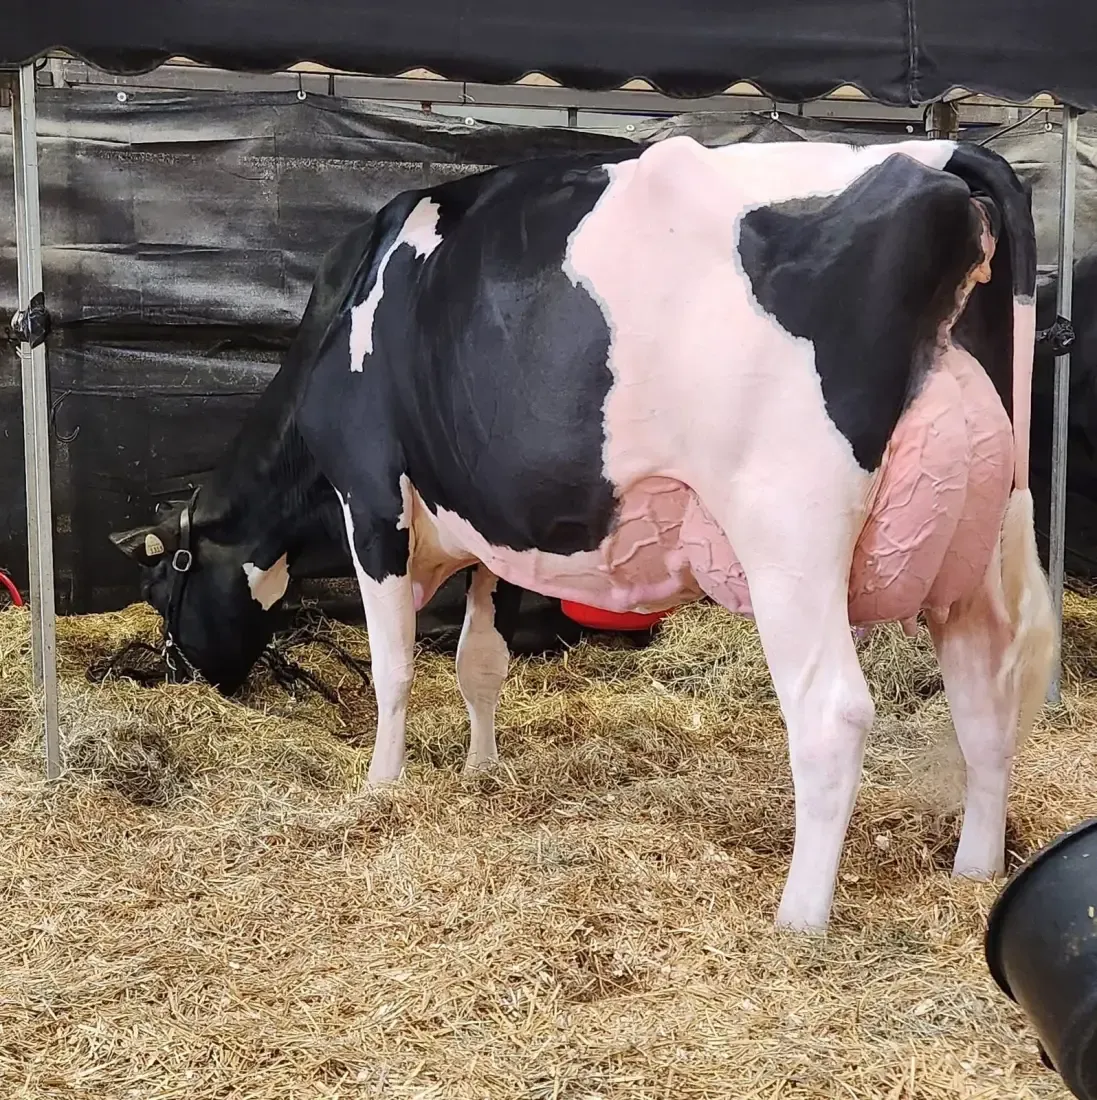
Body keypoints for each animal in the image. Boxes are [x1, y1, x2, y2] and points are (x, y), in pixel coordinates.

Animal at [110, 135, 1056, 932]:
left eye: (163, 590)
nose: (185, 679)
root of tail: (933, 153)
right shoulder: (495, 528)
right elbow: (480, 662)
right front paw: (481, 768)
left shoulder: (371, 498)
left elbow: (394, 666)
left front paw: (382, 783)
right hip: (978, 540)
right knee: (986, 689)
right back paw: (974, 870)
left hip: (790, 530)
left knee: (830, 712)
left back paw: (798, 917)